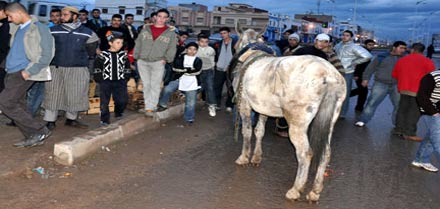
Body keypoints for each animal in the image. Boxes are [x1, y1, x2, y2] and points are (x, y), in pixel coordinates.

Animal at [232, 47, 346, 201]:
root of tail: (328, 76)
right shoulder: (263, 108)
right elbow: (259, 131)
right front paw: (256, 157)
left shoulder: (244, 104)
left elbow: (247, 131)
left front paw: (244, 157)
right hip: (331, 120)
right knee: (326, 153)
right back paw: (315, 191)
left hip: (297, 123)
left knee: (305, 154)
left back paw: (296, 189)